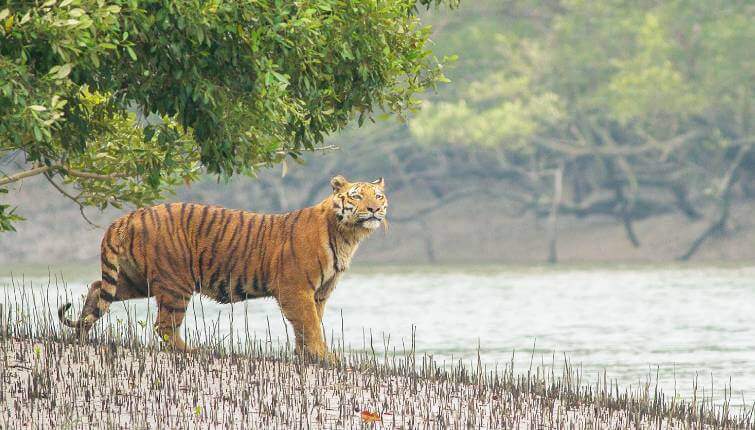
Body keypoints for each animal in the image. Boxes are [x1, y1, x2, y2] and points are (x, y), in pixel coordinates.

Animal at [57, 174, 390, 360]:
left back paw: (82, 332)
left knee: (97, 288)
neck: (347, 235)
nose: (374, 209)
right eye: (357, 196)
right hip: (176, 282)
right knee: (164, 325)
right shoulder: (296, 289)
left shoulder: (319, 293)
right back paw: (192, 352)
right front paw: (326, 357)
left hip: (136, 279)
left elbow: (308, 326)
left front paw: (306, 356)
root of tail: (127, 216)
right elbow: (310, 325)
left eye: (378, 195)